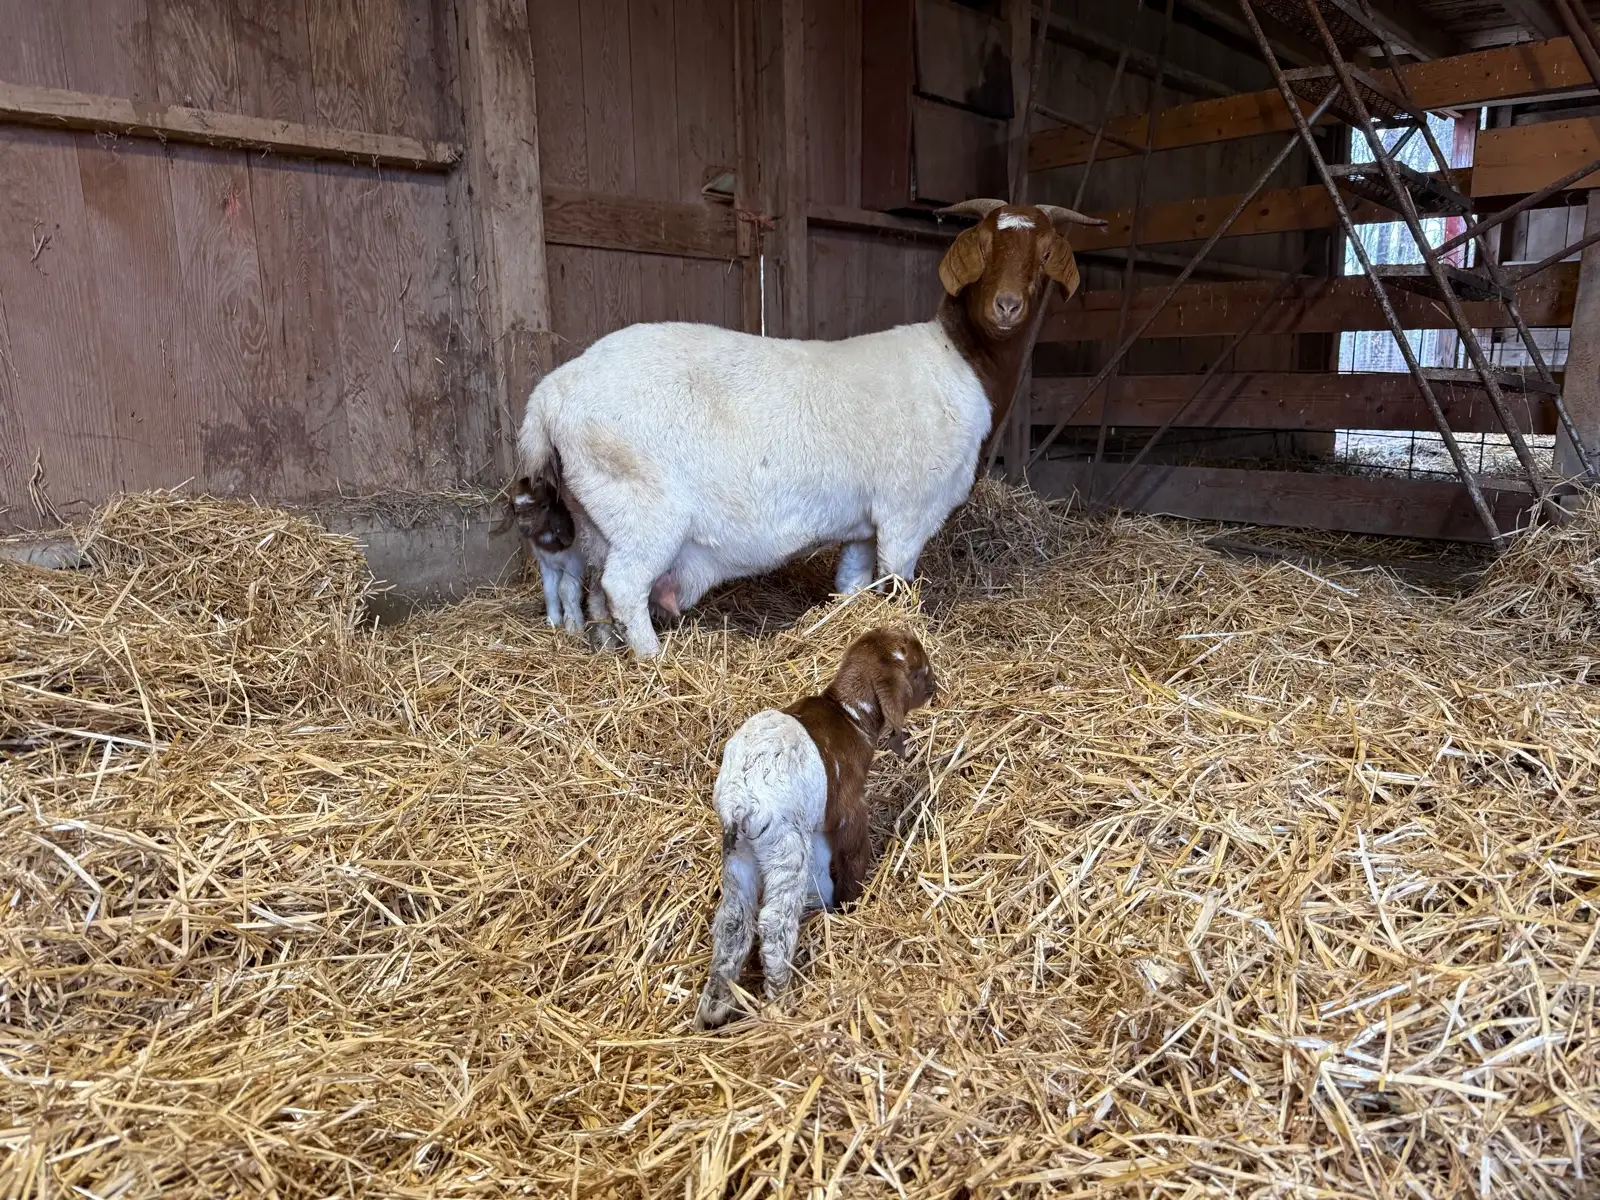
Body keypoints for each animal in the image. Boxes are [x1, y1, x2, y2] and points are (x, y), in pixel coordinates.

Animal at [517, 198, 1102, 659]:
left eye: (1044, 252)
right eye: (981, 245)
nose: (1007, 306)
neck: (959, 362)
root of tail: (551, 395)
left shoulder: (865, 523)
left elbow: (853, 585)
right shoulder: (908, 511)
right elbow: (897, 586)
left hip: (595, 515)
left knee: (596, 587)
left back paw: (604, 648)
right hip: (643, 510)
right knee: (623, 585)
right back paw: (653, 660)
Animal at [695, 627, 936, 1030]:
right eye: (918, 671)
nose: (935, 687)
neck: (848, 715)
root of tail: (740, 801)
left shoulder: (818, 826)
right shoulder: (847, 807)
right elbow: (852, 853)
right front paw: (851, 902)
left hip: (739, 854)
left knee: (732, 920)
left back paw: (715, 1006)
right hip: (784, 844)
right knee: (774, 922)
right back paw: (782, 1001)